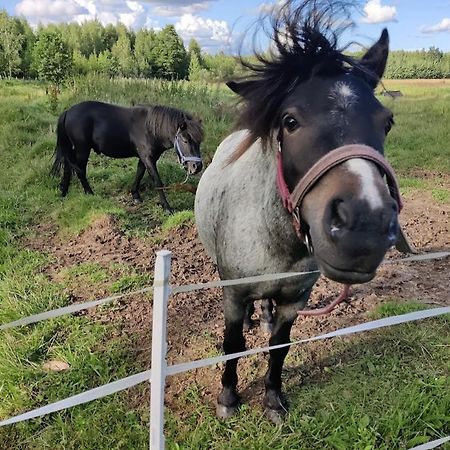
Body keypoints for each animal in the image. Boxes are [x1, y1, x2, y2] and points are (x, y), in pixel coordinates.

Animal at [50, 101, 203, 212]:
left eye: (199, 141)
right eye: (185, 140)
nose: (197, 167)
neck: (150, 128)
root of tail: (68, 111)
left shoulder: (144, 158)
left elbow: (139, 174)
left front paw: (135, 195)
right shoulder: (148, 158)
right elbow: (157, 181)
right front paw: (167, 207)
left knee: (68, 166)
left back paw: (64, 190)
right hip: (82, 149)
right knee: (80, 170)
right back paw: (89, 193)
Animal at [195, 0, 402, 424]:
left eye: (386, 122)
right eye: (289, 121)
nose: (364, 225)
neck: (275, 240)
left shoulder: (296, 299)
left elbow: (280, 347)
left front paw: (274, 400)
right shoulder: (233, 294)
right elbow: (232, 344)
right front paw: (228, 397)